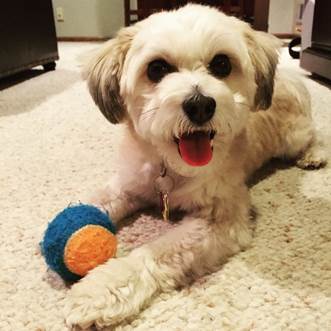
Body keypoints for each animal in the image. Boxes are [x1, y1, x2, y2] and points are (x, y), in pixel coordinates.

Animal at [65, 3, 326, 330]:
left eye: (222, 64)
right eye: (157, 69)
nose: (200, 105)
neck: (170, 167)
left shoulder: (219, 218)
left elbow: (157, 251)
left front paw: (104, 287)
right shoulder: (128, 184)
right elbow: (95, 201)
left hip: (293, 136)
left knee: (315, 133)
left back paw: (314, 154)